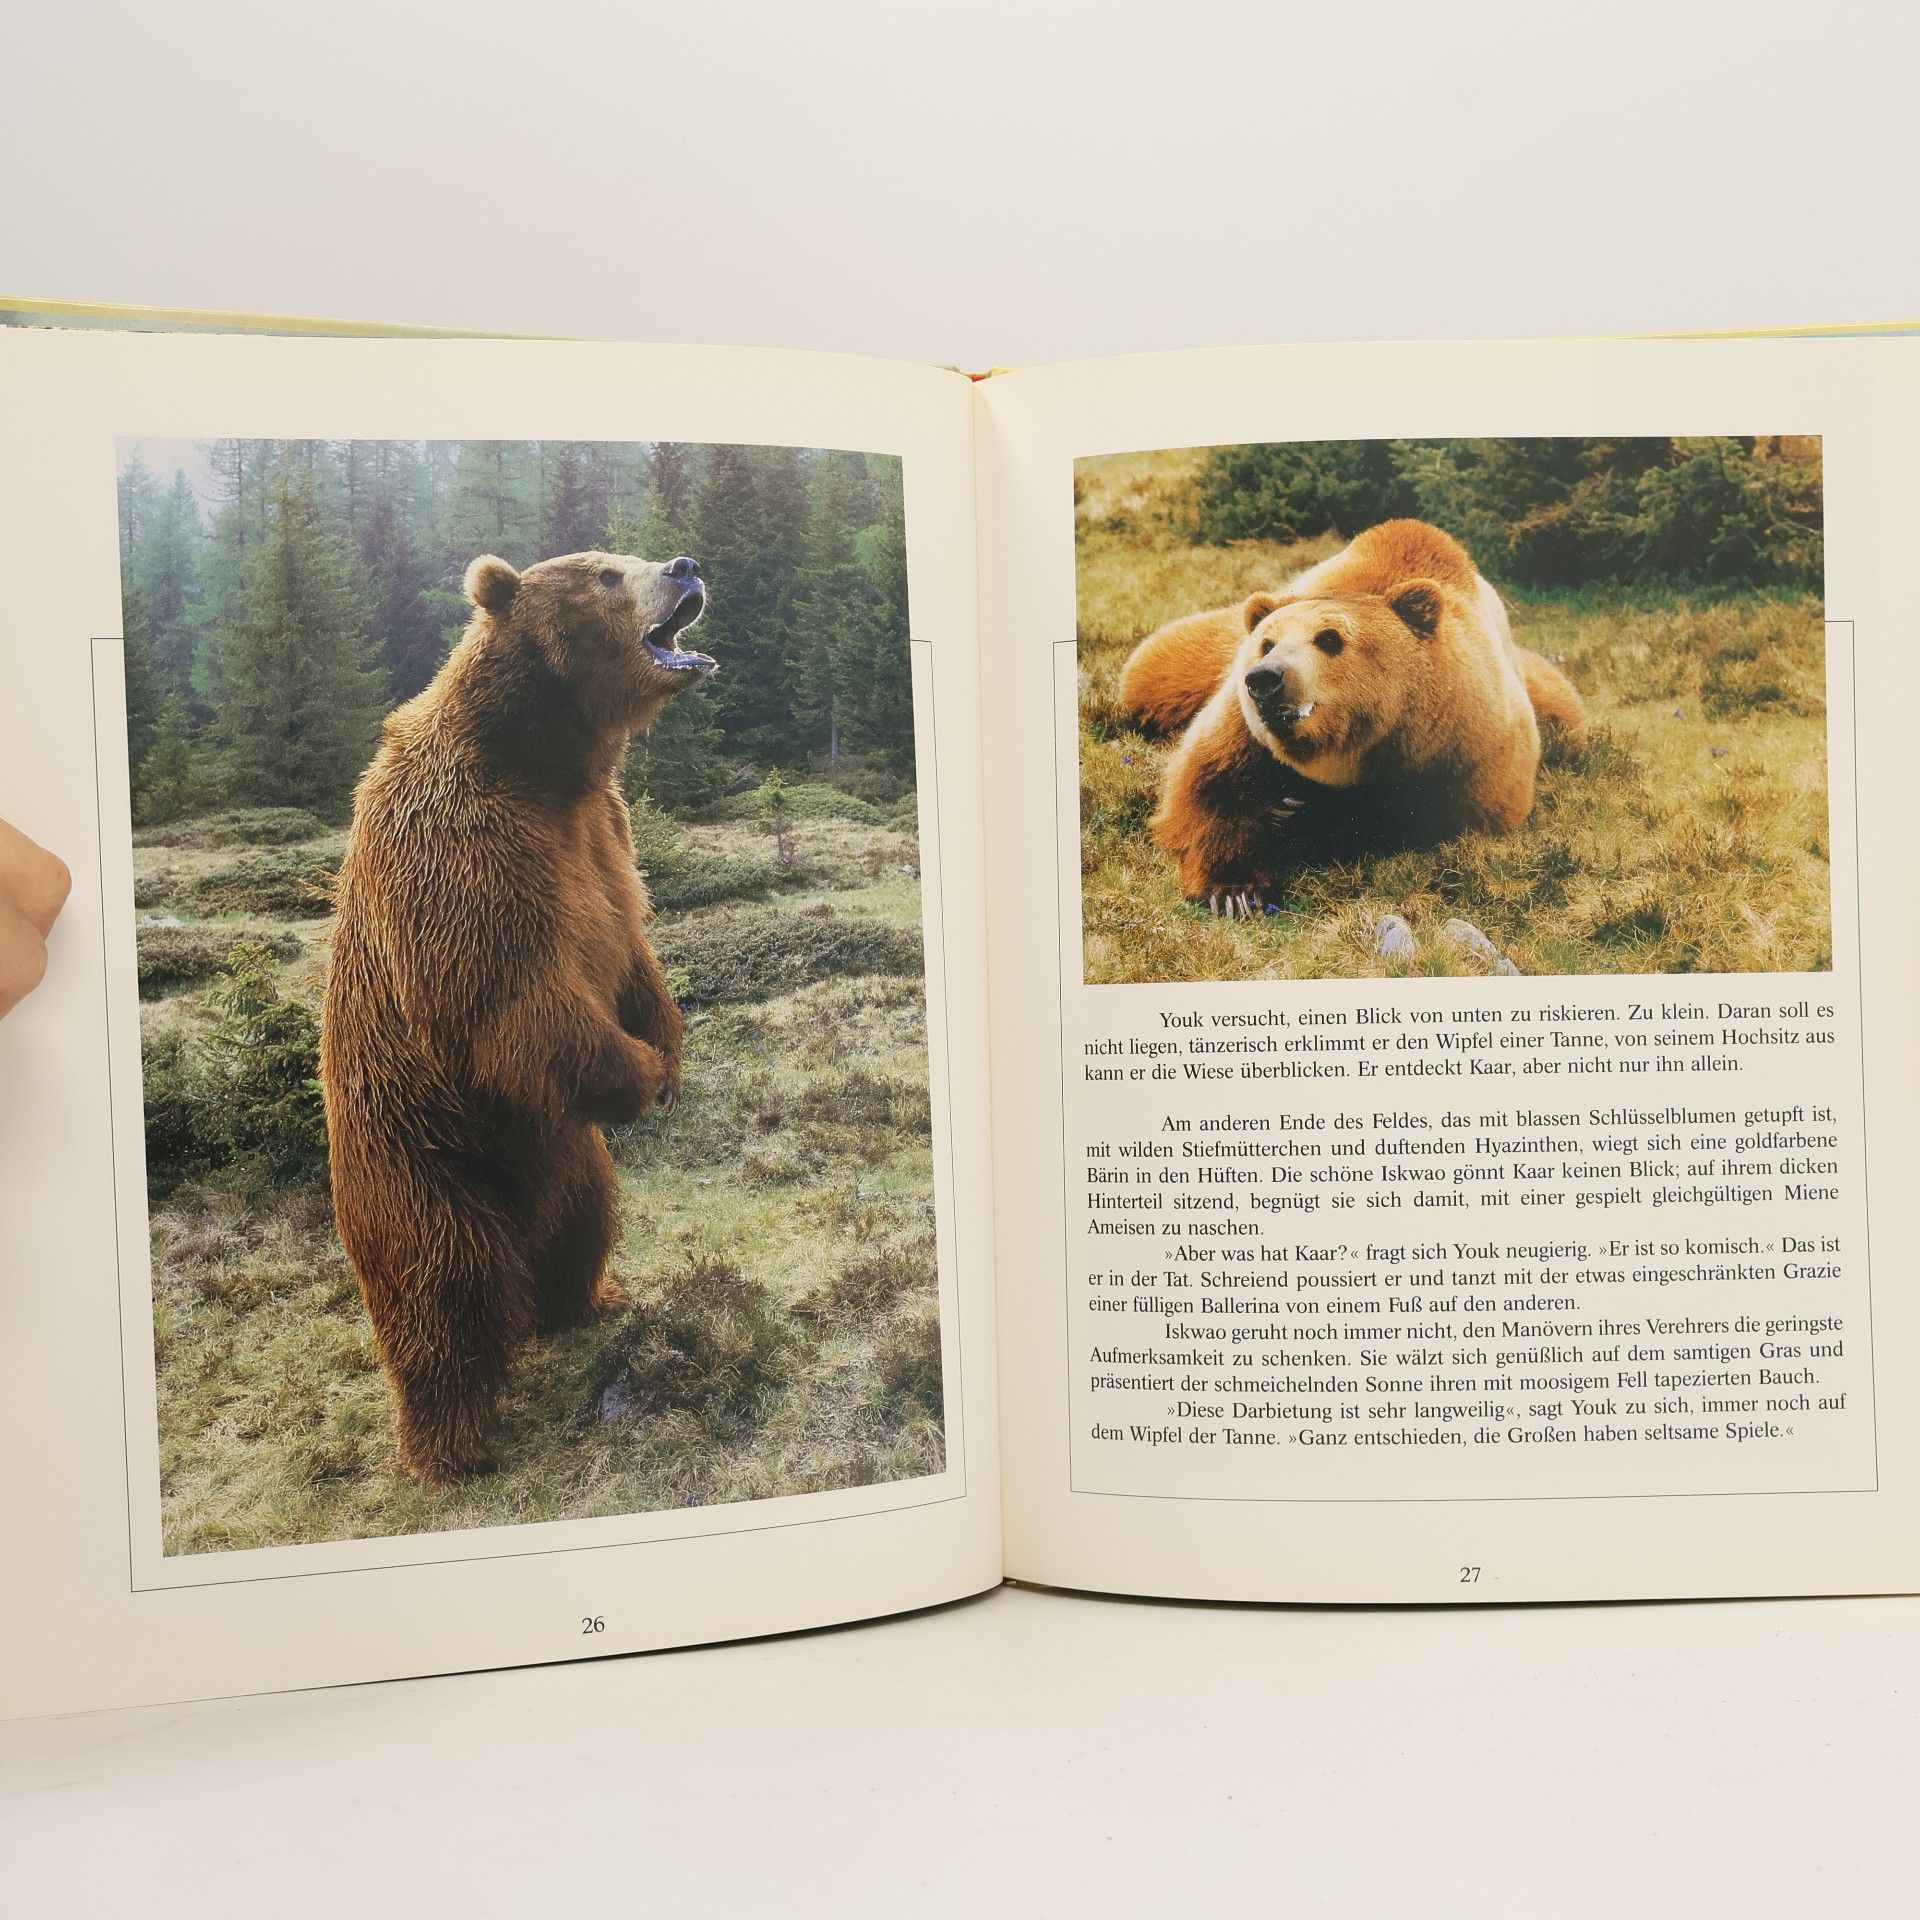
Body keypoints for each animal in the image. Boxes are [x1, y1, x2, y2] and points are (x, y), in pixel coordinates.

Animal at [319, 548, 716, 1486]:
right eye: (606, 573)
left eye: (628, 555)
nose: (685, 564)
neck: (545, 764)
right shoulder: (462, 851)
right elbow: (512, 1001)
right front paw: (644, 1072)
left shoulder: (603, 835)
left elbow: (633, 948)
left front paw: (670, 1051)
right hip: (422, 1162)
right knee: (444, 1297)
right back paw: (450, 1449)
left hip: (568, 1157)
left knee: (585, 1223)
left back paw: (591, 1297)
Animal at [1117, 520, 1584, 915]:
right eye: (1268, 642)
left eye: (1330, 639)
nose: (1265, 679)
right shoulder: (1242, 728)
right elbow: (1211, 784)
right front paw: (1234, 892)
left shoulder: (1470, 743)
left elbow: (1443, 818)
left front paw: (1301, 816)